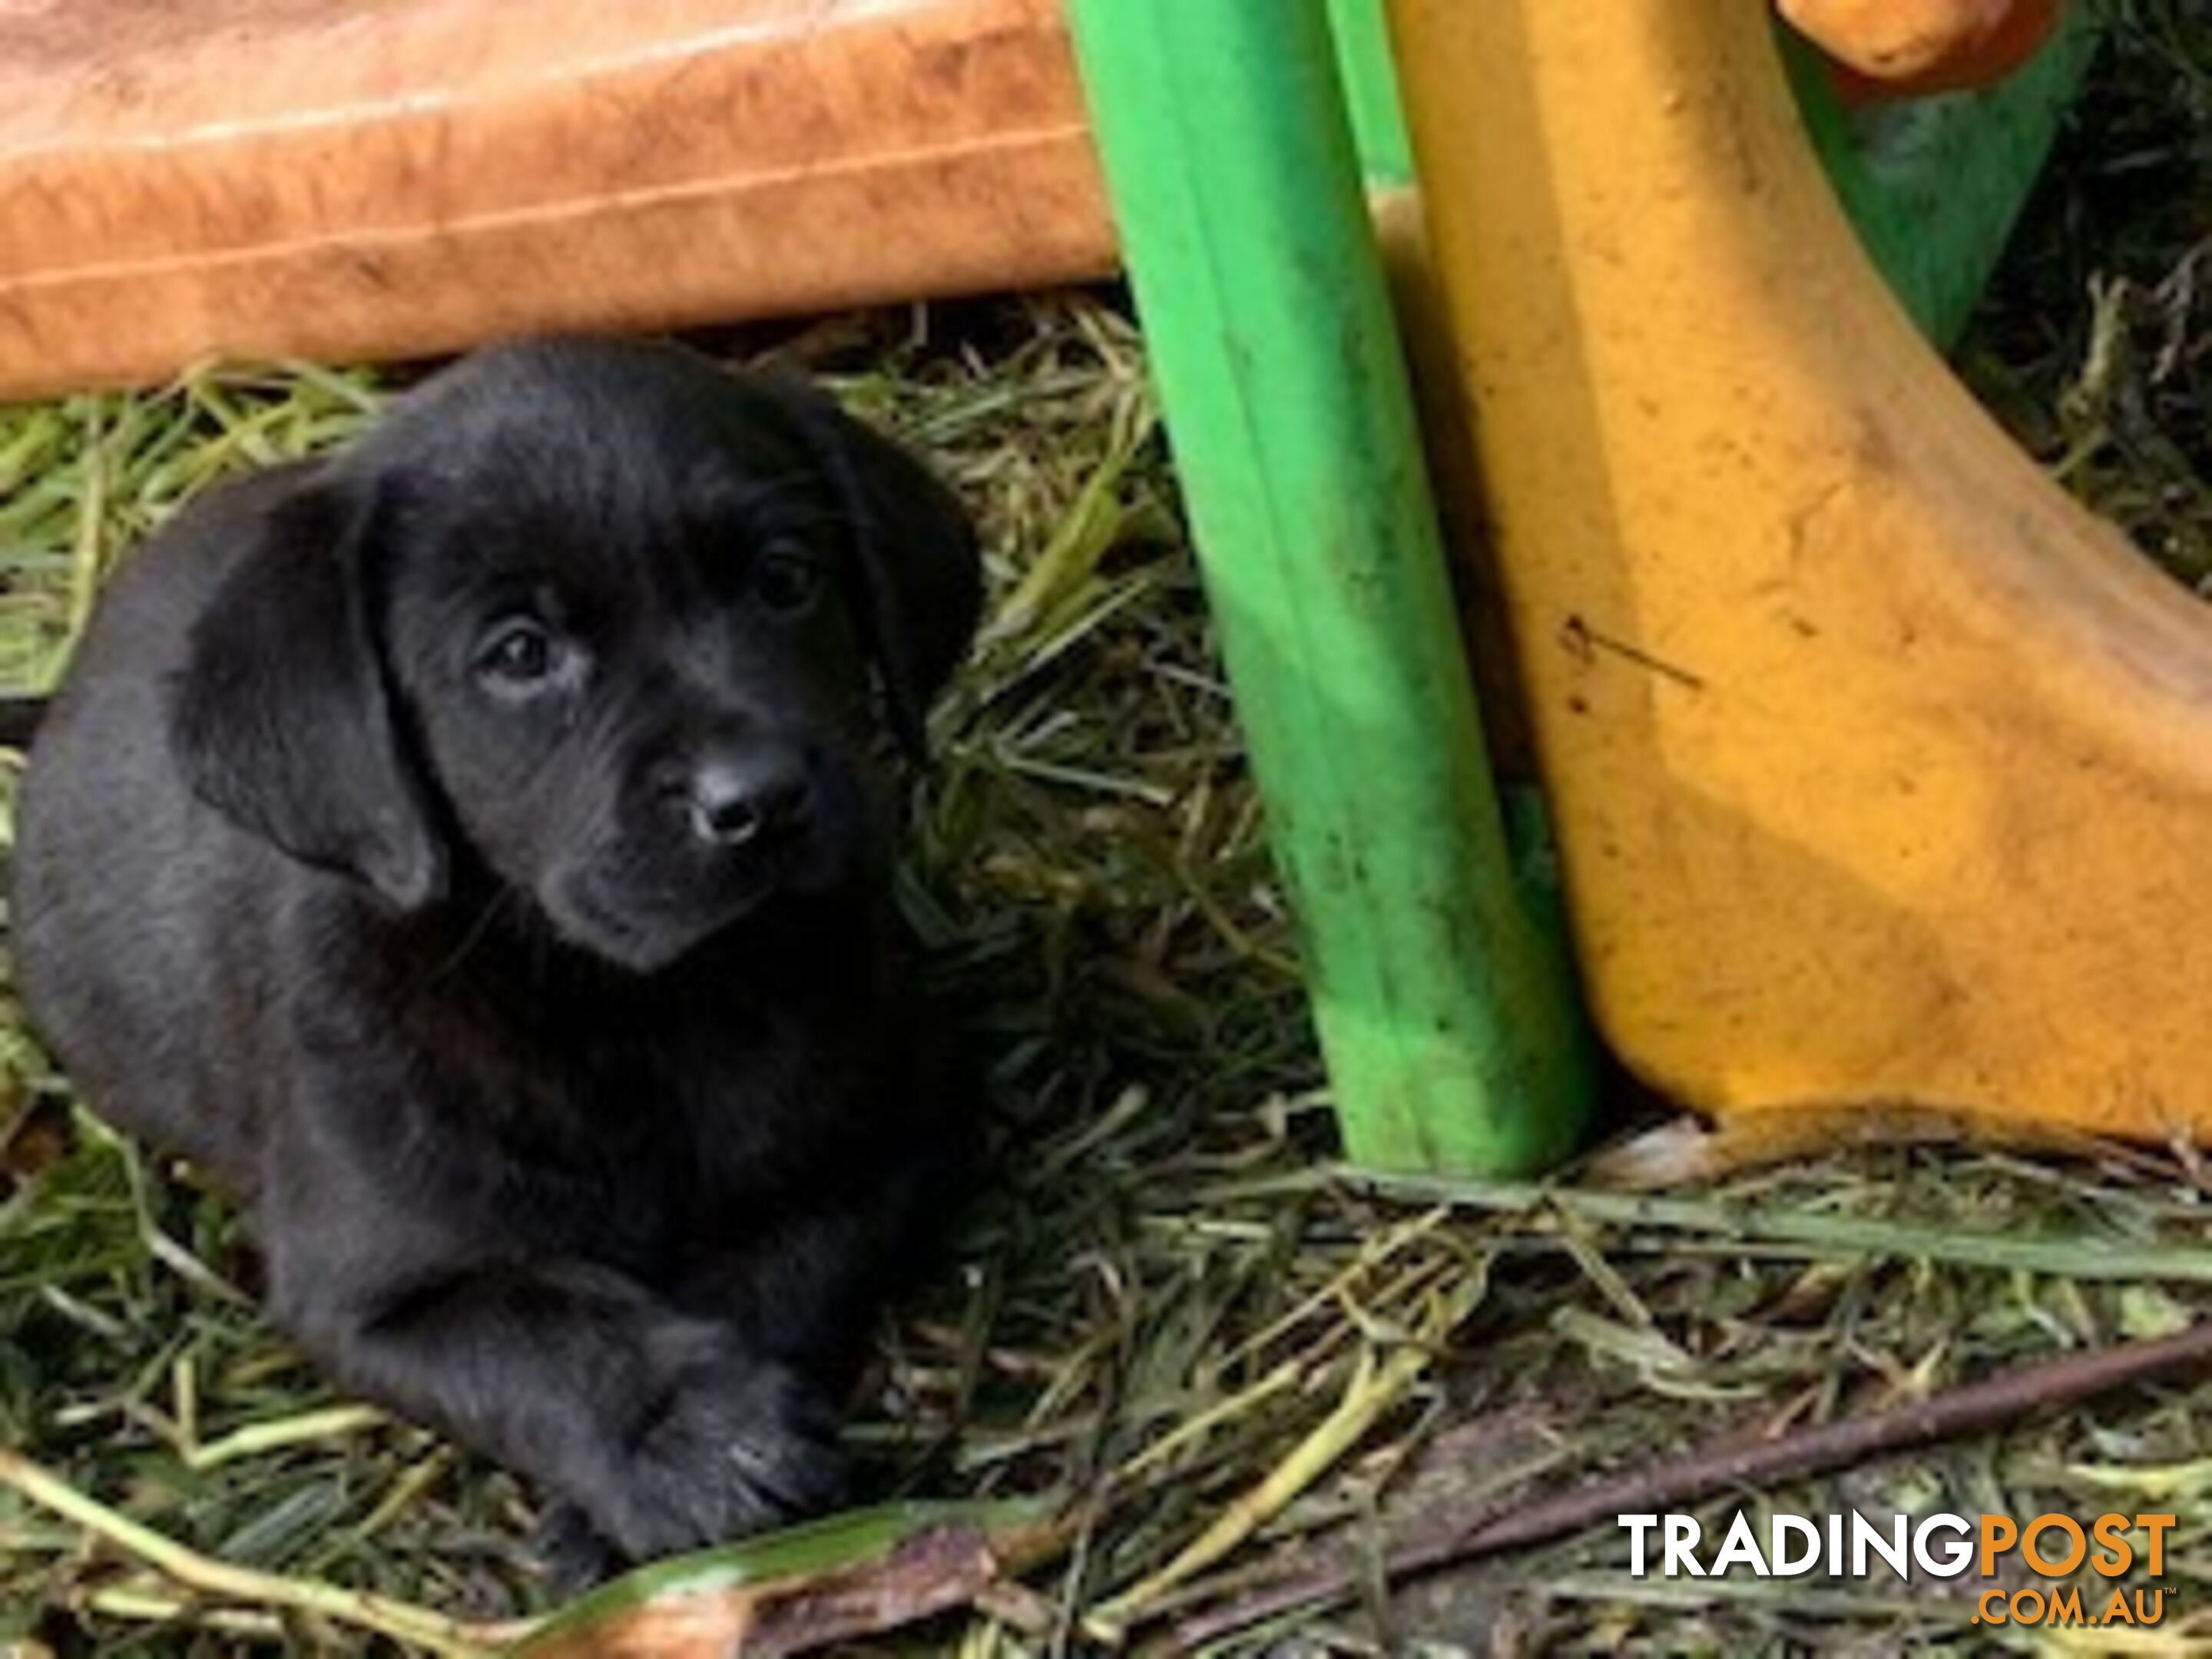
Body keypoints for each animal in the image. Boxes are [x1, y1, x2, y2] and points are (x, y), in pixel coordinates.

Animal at [8, 333, 977, 1575]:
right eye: (521, 654)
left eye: (785, 580)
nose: (756, 799)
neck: (637, 1006)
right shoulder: (378, 1290)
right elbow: (544, 1336)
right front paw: (690, 1440)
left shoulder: (894, 1130)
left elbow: (781, 1265)